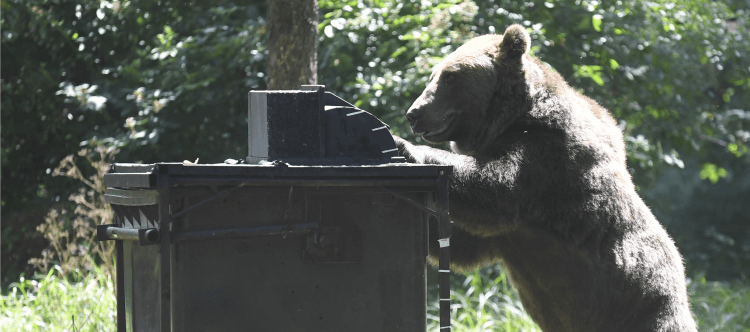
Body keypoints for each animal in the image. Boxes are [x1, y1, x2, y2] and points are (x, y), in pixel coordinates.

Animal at [394, 24, 700, 330]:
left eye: (450, 76)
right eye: (433, 75)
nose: (413, 113)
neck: (508, 120)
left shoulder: (549, 159)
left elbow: (496, 189)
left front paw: (404, 146)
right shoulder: (508, 236)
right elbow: (463, 242)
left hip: (643, 306)